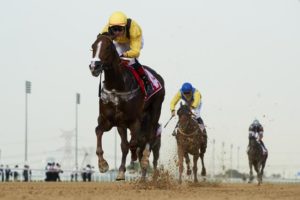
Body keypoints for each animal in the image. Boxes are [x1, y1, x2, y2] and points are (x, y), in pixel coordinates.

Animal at [88, 33, 165, 180]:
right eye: (93, 46)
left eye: (108, 47)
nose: (94, 66)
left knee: (149, 136)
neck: (117, 85)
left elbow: (132, 143)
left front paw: (131, 161)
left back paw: (144, 159)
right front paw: (103, 164)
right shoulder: (111, 120)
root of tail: (158, 76)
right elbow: (99, 132)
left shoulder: (133, 120)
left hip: (155, 110)